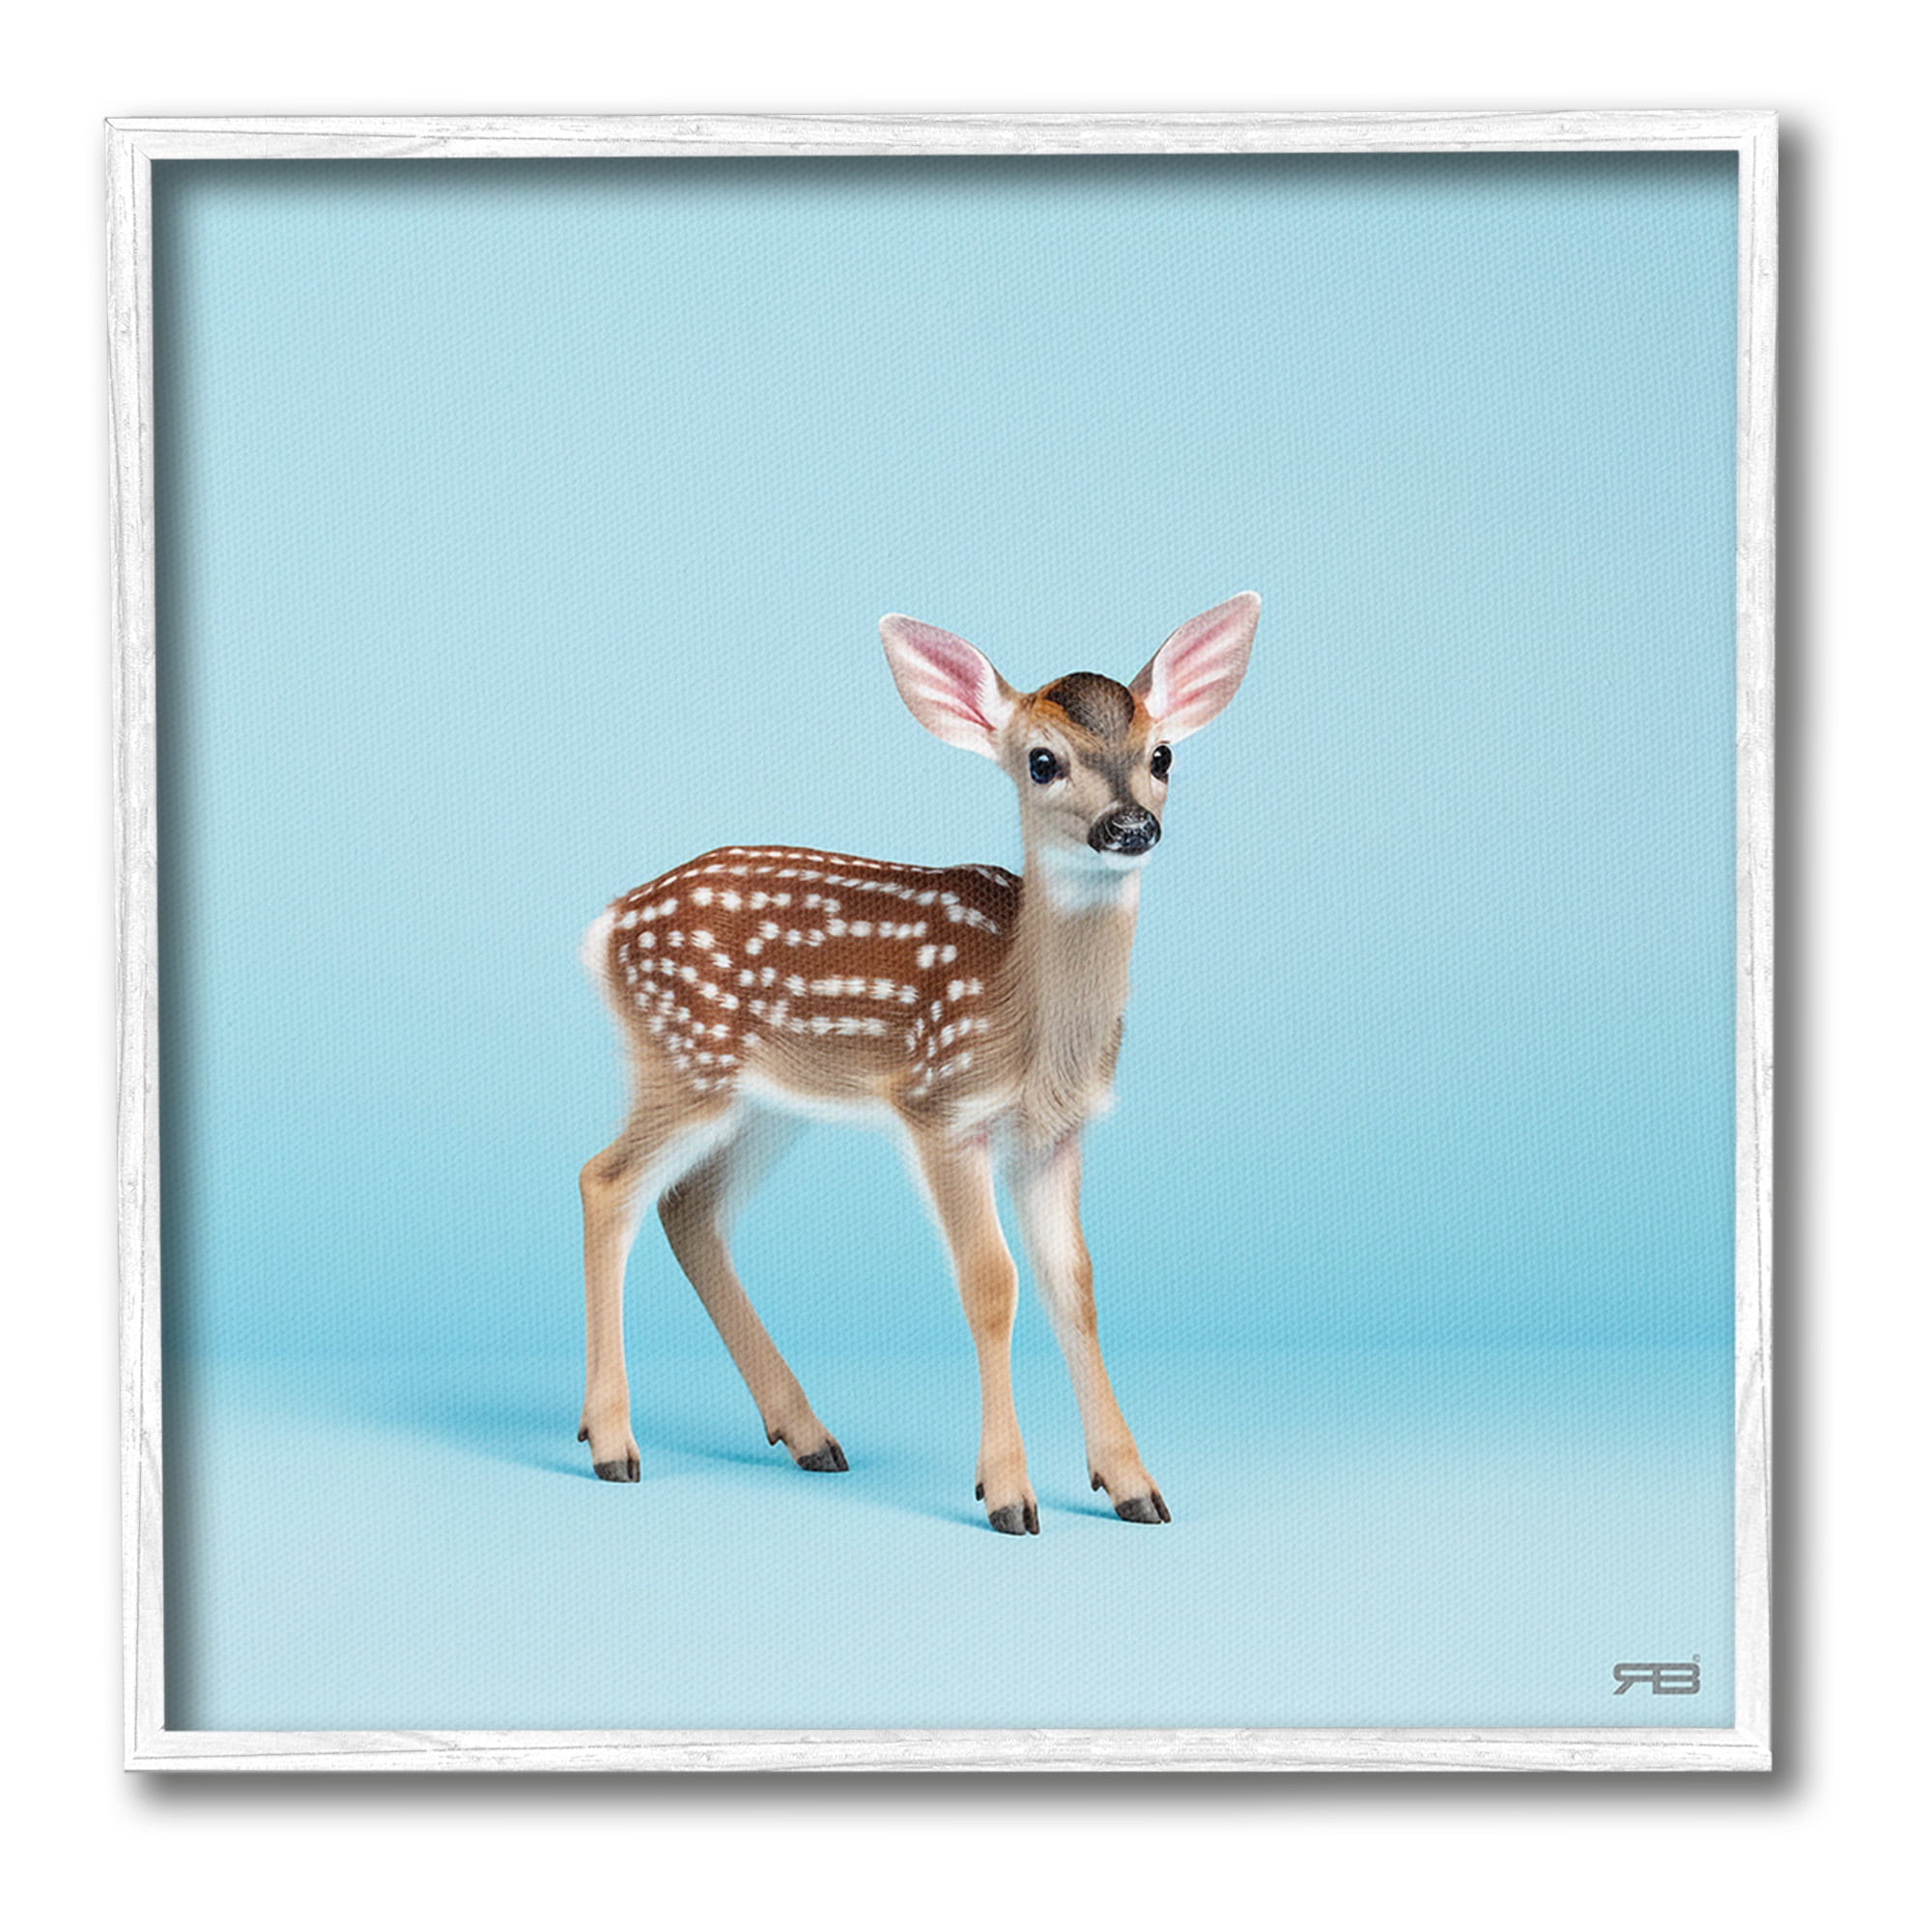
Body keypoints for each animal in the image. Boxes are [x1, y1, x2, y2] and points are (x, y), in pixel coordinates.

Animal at [577, 592, 1259, 1534]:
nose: (1130, 826)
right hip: (684, 1060)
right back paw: (612, 1444)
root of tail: (605, 925)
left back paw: (808, 1436)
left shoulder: (1055, 1135)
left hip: (768, 1102)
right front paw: (1007, 1494)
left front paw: (1132, 1486)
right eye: (1042, 762)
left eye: (1162, 754)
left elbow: (1074, 1286)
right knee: (605, 1182)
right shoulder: (941, 1105)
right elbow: (991, 1283)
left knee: (689, 1209)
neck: (1029, 1024)